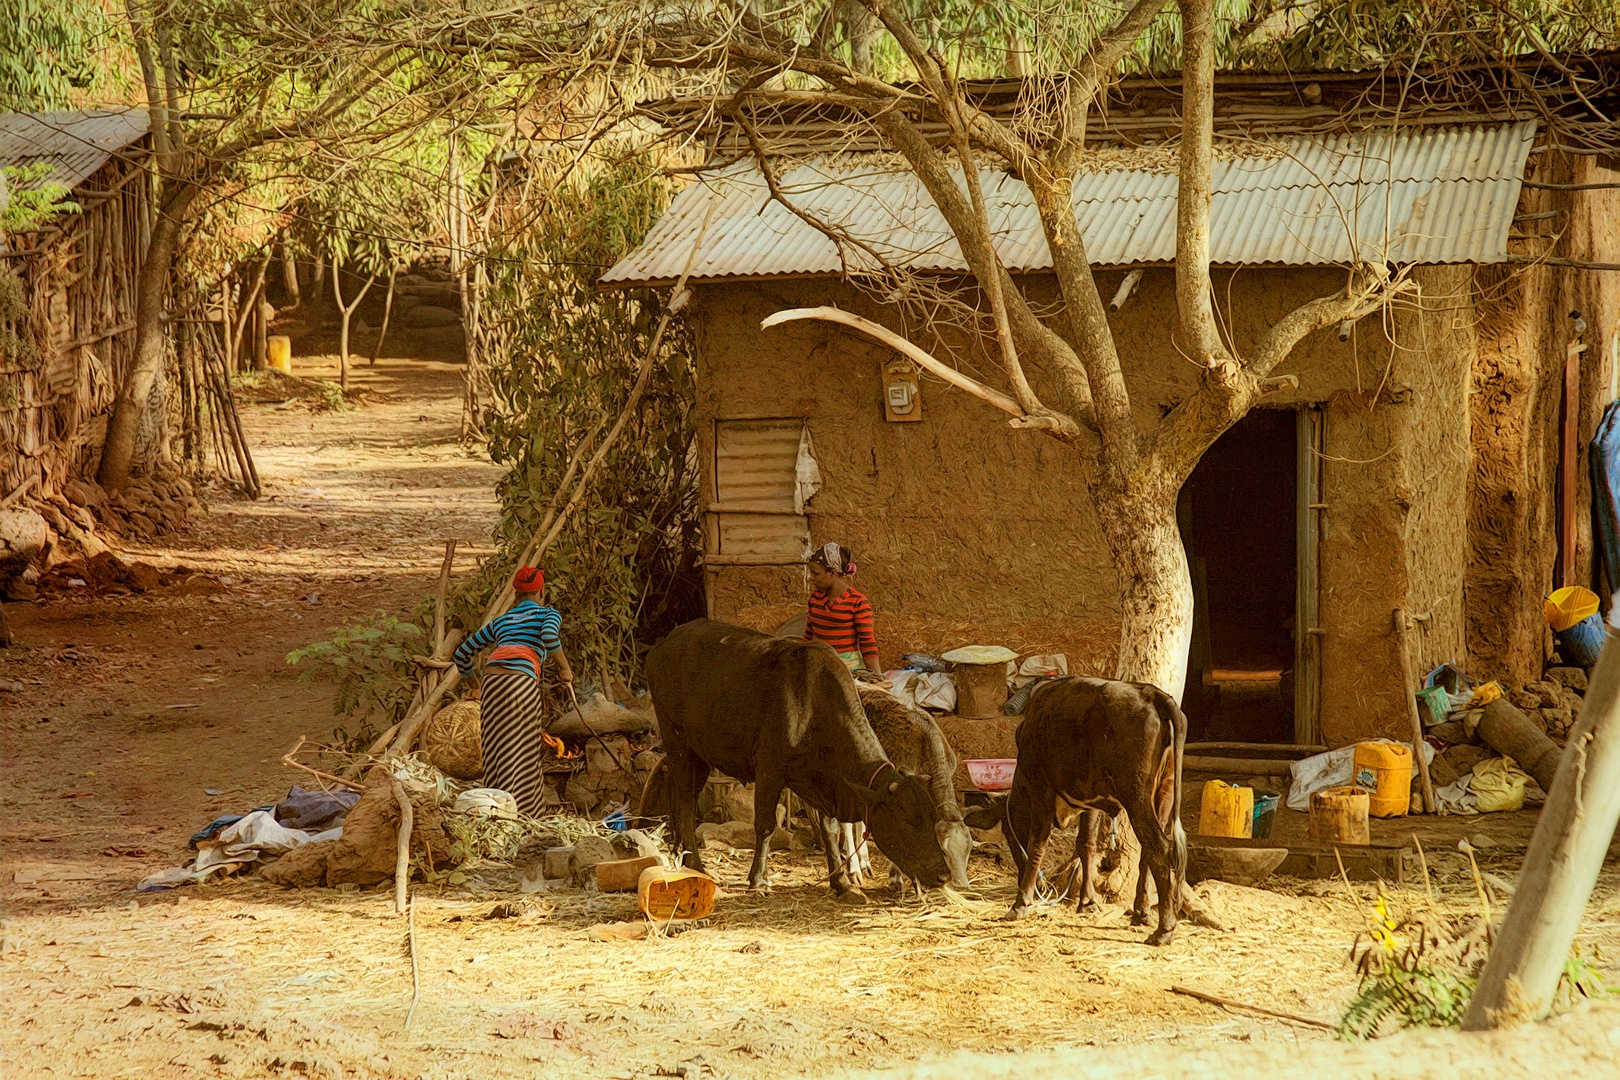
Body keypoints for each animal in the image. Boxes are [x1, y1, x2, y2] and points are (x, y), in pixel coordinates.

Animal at [641, 621, 946, 900]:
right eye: (906, 820)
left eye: (932, 817)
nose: (943, 874)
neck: (814, 706)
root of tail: (663, 644)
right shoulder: (769, 770)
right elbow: (765, 826)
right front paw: (758, 880)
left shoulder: (821, 782)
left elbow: (830, 829)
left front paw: (842, 883)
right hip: (679, 743)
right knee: (685, 803)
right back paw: (697, 865)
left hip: (701, 754)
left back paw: (684, 857)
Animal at [997, 676, 1192, 945]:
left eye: (1007, 833)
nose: (1017, 875)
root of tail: (1149, 692)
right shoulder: (1088, 800)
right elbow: (1086, 845)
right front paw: (1087, 902)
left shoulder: (1041, 786)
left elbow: (1038, 842)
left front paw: (1020, 904)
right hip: (1163, 794)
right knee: (1148, 854)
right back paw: (1142, 913)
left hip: (1137, 796)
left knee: (1160, 850)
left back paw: (1164, 930)